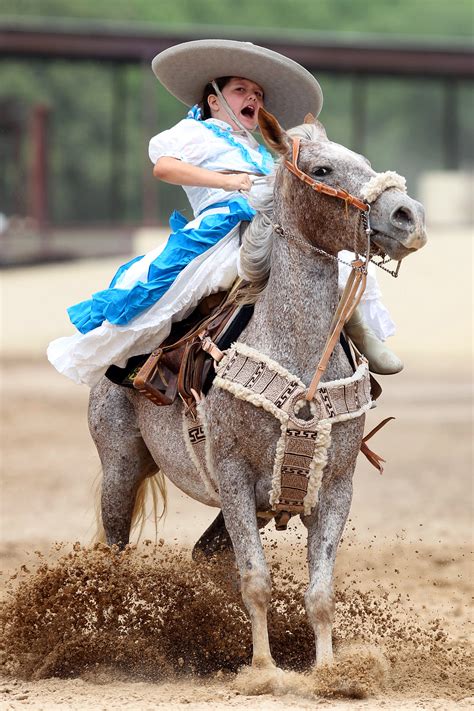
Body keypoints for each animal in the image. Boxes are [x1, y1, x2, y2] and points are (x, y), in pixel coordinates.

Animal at [89, 108, 426, 672]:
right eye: (322, 168)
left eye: (363, 159)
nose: (409, 215)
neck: (298, 358)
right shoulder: (233, 476)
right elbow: (256, 581)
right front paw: (264, 670)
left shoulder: (335, 486)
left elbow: (319, 592)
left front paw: (327, 670)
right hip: (122, 464)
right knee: (112, 548)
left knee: (202, 553)